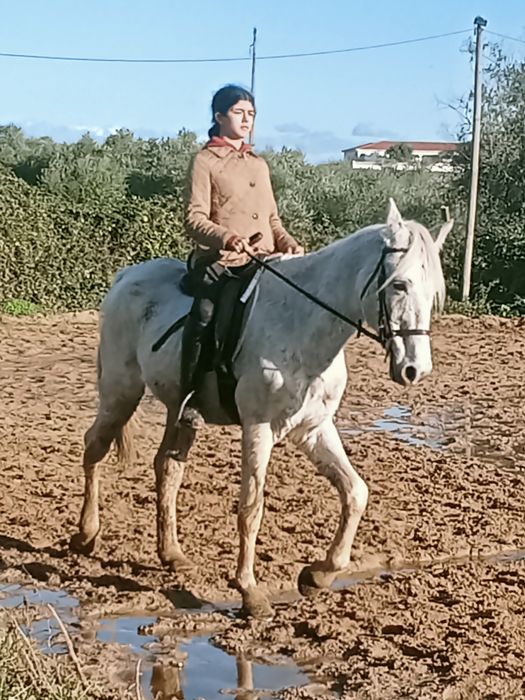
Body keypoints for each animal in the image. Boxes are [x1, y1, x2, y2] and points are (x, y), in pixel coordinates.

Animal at [70, 199, 452, 618]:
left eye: (433, 292)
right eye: (399, 284)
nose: (416, 369)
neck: (302, 324)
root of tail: (127, 276)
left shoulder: (314, 428)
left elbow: (355, 493)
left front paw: (318, 575)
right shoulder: (259, 427)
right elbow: (251, 508)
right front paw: (250, 592)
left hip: (180, 408)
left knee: (167, 468)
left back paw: (171, 554)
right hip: (120, 392)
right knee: (95, 447)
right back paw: (86, 535)